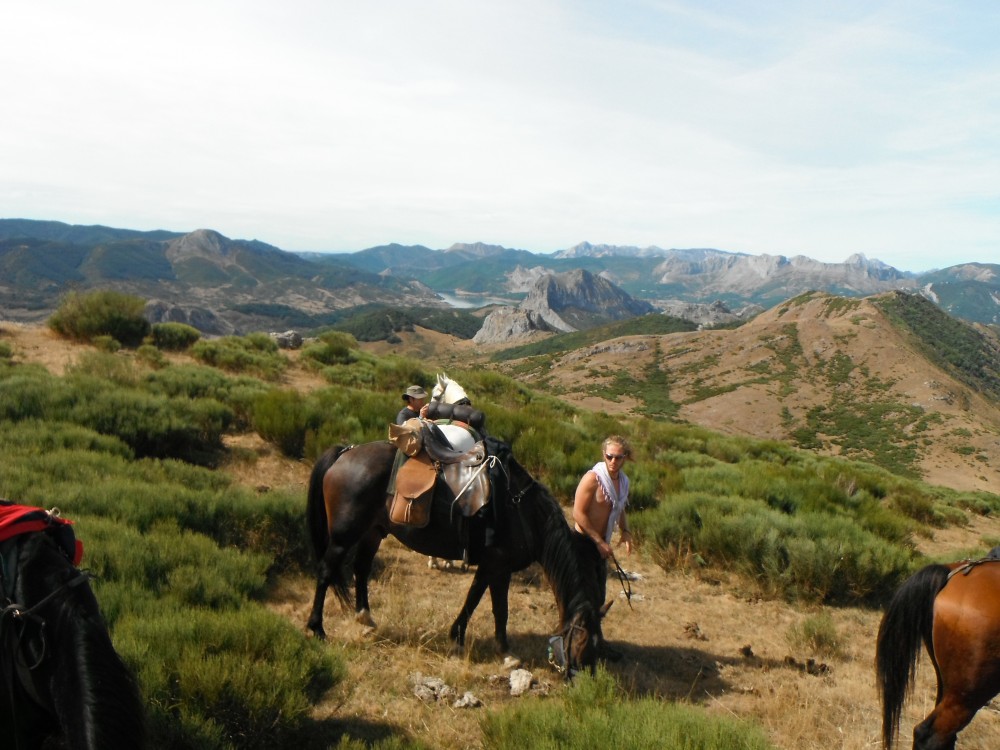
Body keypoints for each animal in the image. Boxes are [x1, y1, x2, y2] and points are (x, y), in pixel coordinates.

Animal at [304, 434, 604, 676]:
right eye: (584, 640)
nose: (583, 676)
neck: (525, 513)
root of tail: (346, 452)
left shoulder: (494, 567)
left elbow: (484, 602)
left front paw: (470, 639)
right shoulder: (497, 565)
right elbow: (491, 606)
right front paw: (497, 650)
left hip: (373, 532)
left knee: (361, 568)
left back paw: (365, 618)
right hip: (343, 537)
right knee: (326, 572)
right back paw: (317, 629)